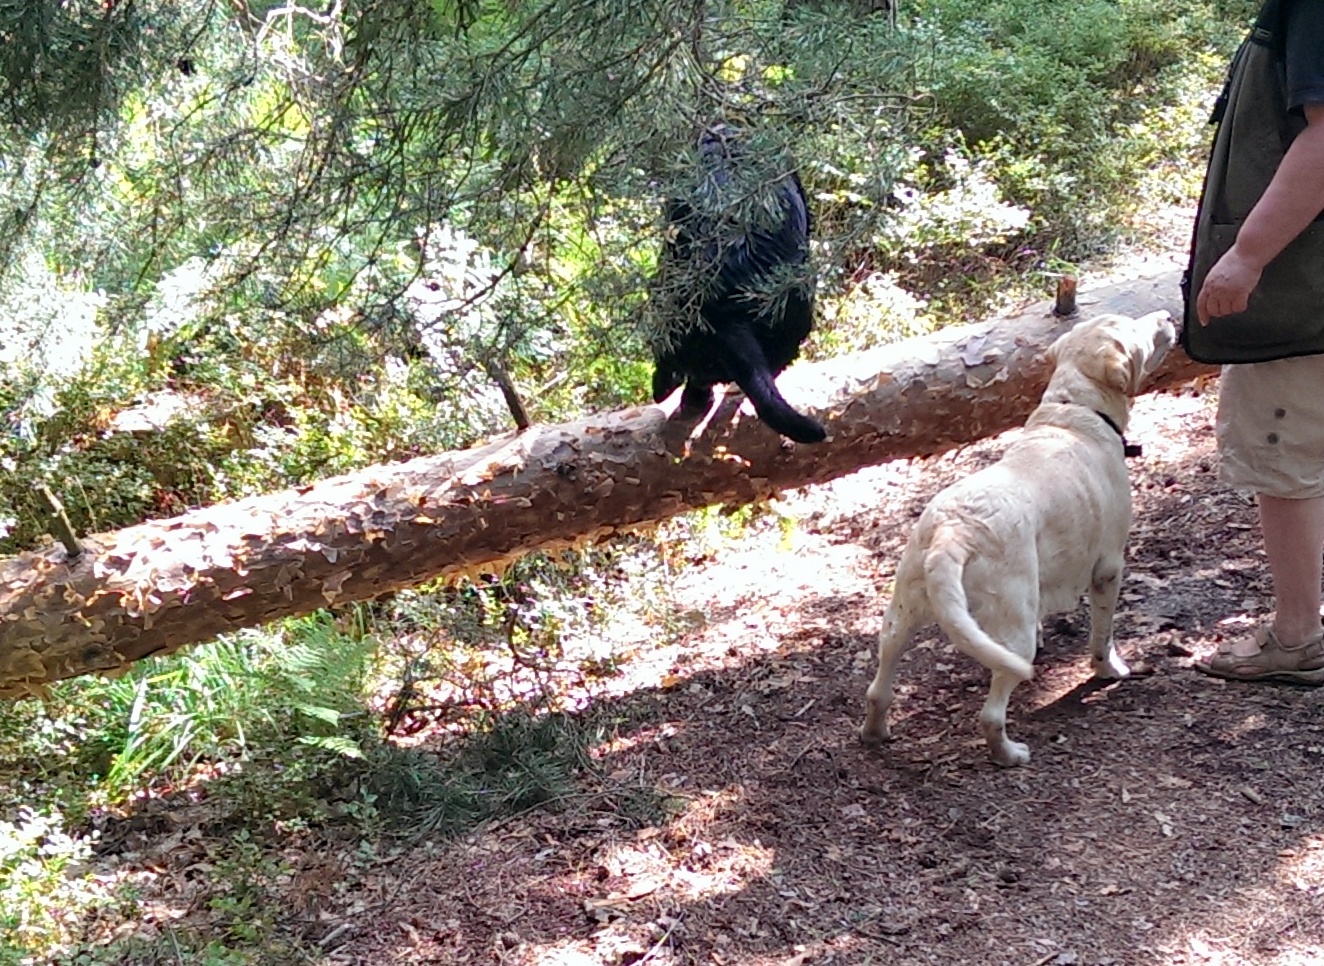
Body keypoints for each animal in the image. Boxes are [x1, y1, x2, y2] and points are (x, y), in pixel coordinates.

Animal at [863, 312, 1175, 762]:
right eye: (1131, 328)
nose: (1167, 316)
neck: (1076, 412)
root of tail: (953, 532)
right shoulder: (1108, 568)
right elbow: (1102, 636)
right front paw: (1109, 670)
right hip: (1012, 633)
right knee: (991, 715)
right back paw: (1009, 755)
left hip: (899, 618)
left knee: (878, 689)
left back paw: (875, 733)